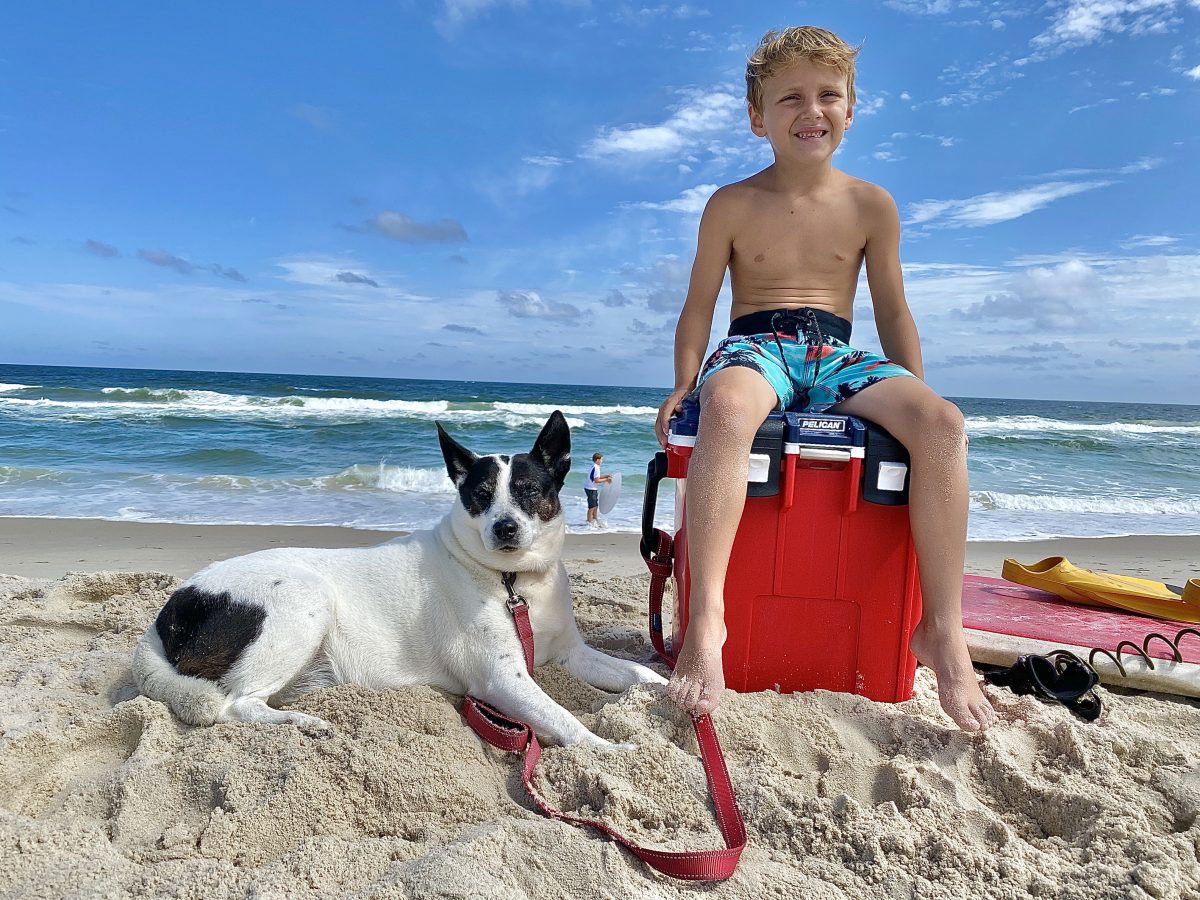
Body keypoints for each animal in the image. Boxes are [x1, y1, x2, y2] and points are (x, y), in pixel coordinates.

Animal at [136, 410, 672, 748]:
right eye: (480, 495)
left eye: (529, 491)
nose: (505, 527)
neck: (514, 582)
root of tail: (166, 616)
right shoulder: (502, 678)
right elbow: (565, 719)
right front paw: (611, 751)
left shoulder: (571, 654)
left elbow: (641, 675)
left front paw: (674, 692)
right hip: (305, 599)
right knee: (237, 705)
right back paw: (300, 723)